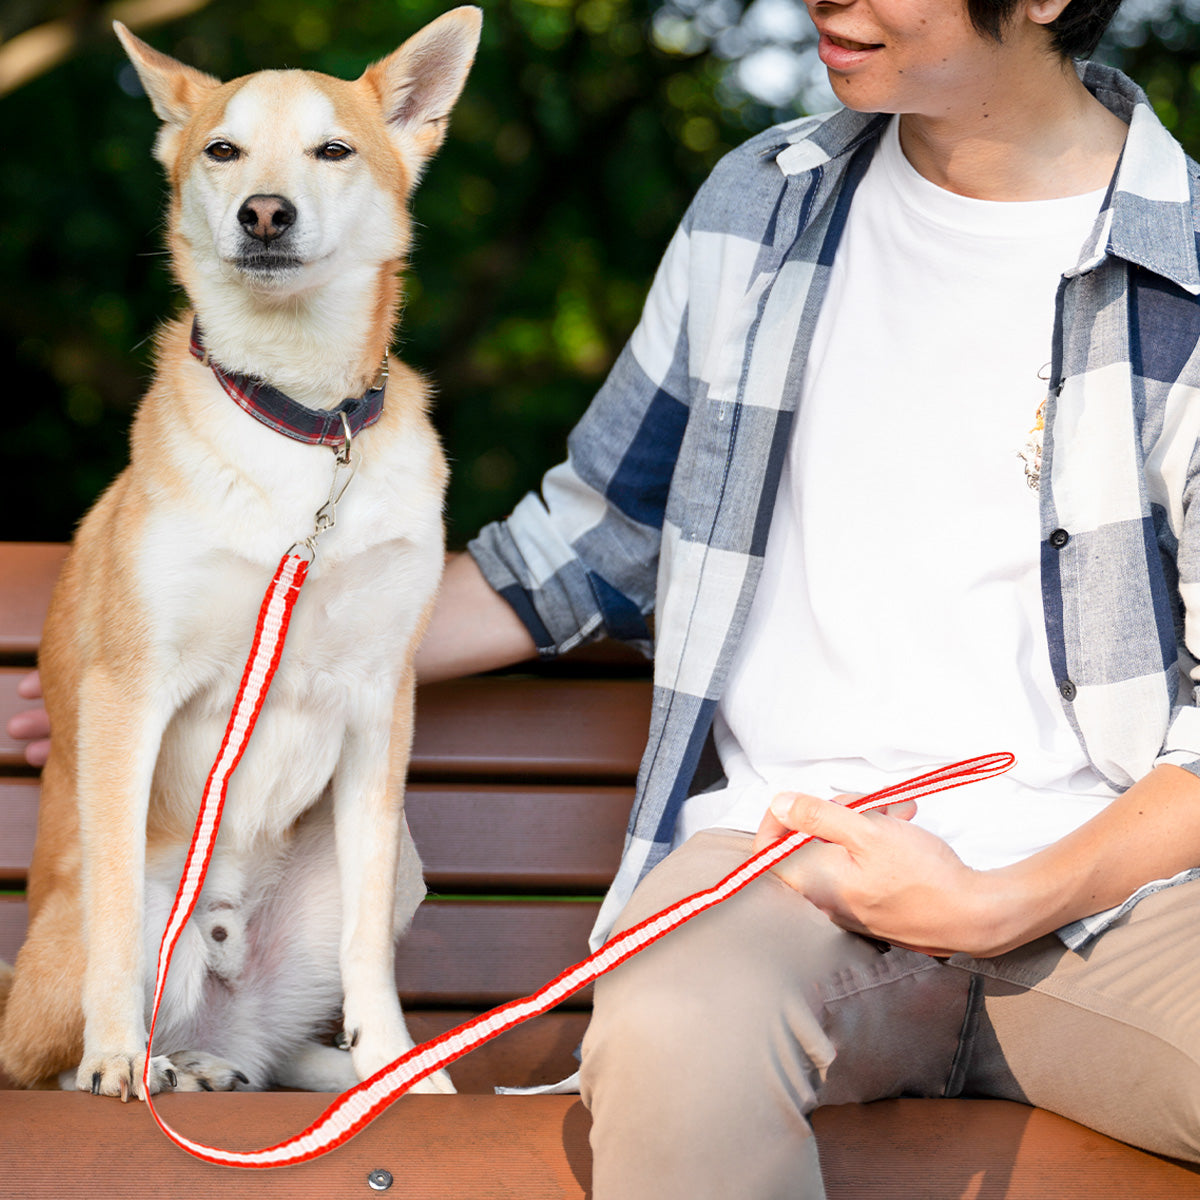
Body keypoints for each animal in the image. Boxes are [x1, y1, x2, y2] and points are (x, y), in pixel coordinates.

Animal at [0, 7, 477, 1099]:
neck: (301, 424)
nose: (264, 212)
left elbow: (366, 950)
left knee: (269, 1049)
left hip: (388, 868)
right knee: (47, 1048)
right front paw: (110, 1056)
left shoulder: (380, 706)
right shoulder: (130, 690)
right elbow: (115, 931)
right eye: (222, 150)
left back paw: (262, 1068)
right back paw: (144, 1062)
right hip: (90, 934)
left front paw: (397, 1063)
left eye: (333, 151)